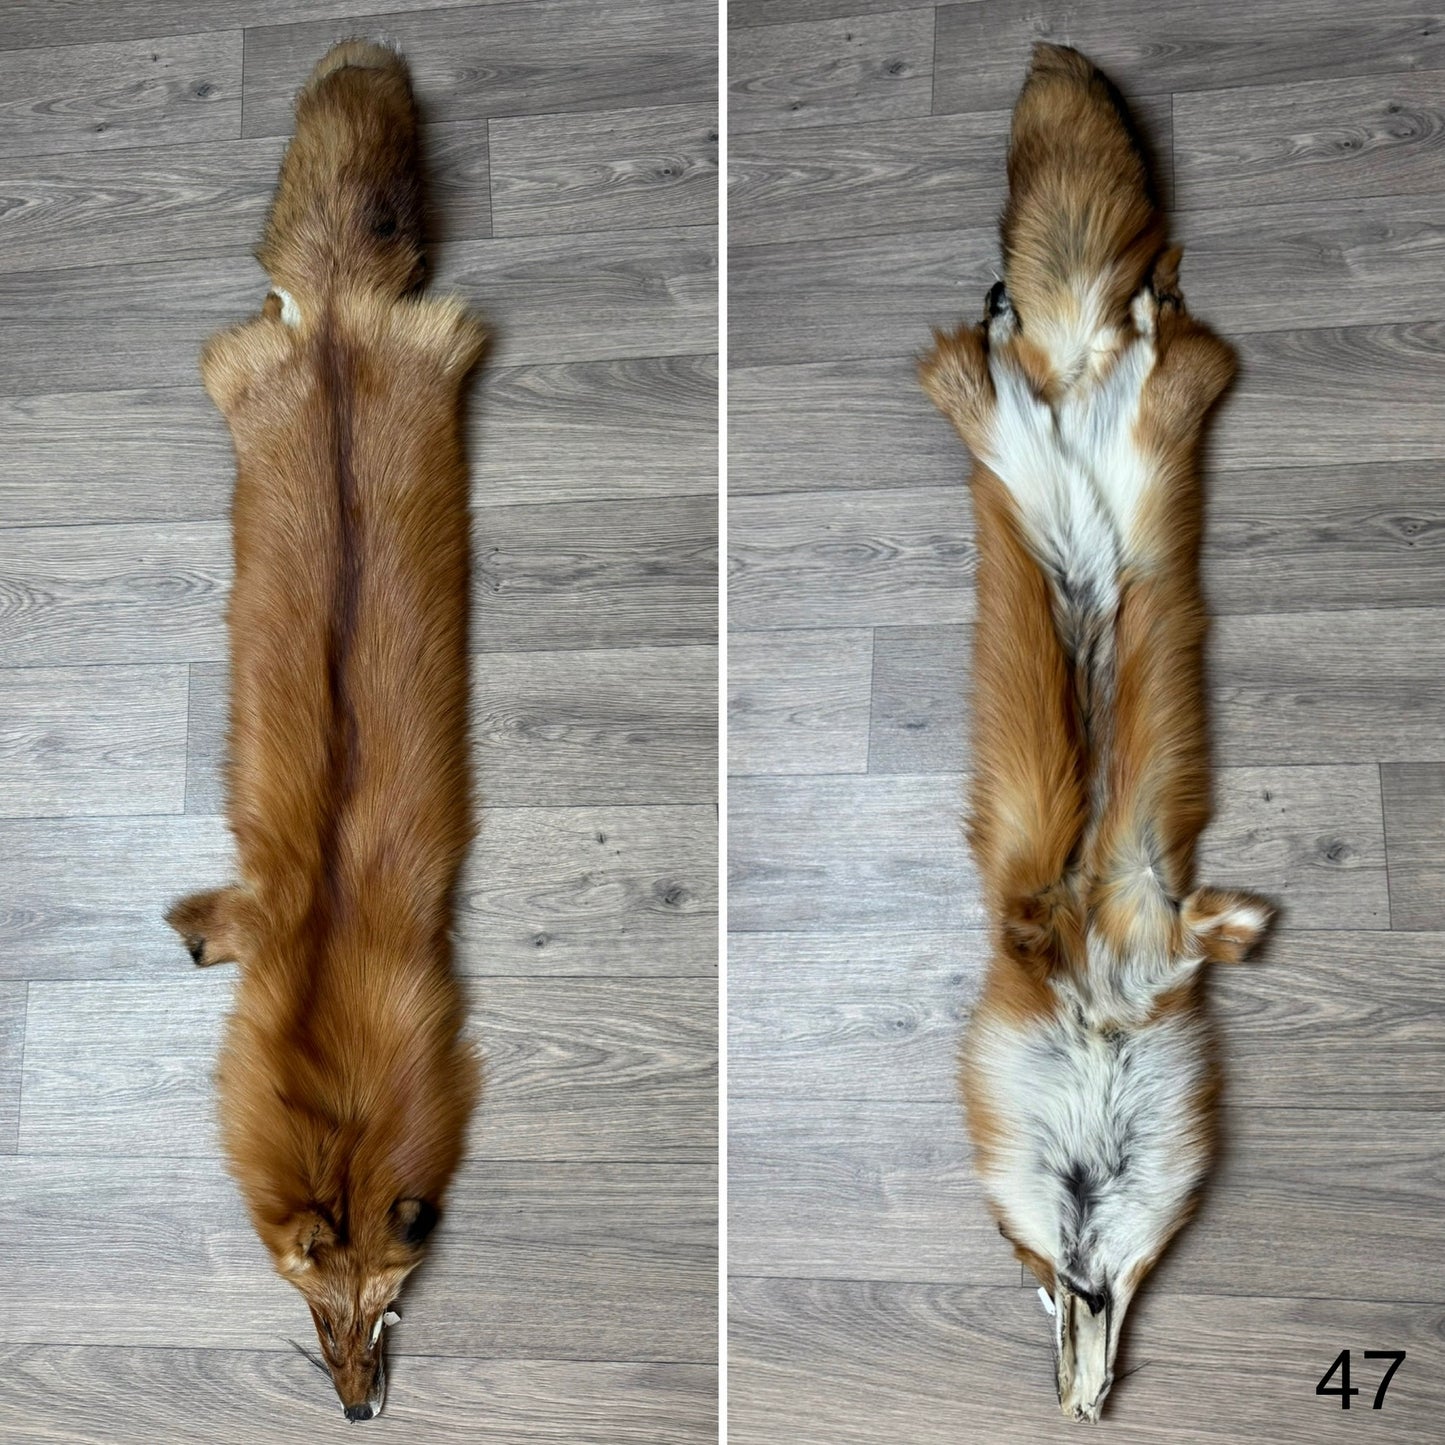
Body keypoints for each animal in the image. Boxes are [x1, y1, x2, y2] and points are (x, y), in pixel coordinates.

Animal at [918, 45, 1273, 1421]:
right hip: (1064, 461)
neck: (1097, 1010)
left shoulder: (1151, 942)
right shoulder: (1125, 935)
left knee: (1142, 346)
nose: (1076, 1383)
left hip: (1123, 454)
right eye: (1019, 1278)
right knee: (1053, 363)